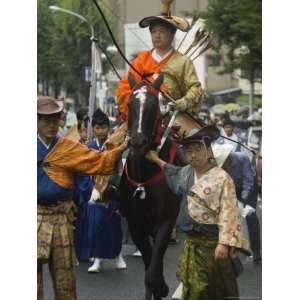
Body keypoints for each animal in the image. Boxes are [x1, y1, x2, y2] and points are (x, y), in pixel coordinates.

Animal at [118, 73, 182, 300]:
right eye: (130, 103)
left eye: (155, 104)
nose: (138, 142)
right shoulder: (136, 225)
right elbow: (149, 271)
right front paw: (157, 288)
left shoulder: (166, 221)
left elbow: (153, 273)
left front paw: (162, 287)